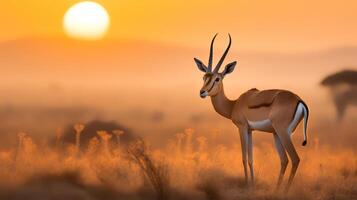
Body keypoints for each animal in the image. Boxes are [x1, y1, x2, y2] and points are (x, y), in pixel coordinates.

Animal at [193, 34, 308, 191]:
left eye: (217, 78)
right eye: (204, 77)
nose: (202, 92)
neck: (234, 104)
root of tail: (299, 100)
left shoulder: (241, 128)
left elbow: (243, 158)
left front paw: (247, 185)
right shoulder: (250, 131)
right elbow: (251, 159)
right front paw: (252, 185)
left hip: (283, 133)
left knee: (295, 159)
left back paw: (284, 191)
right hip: (276, 134)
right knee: (284, 160)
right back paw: (276, 190)